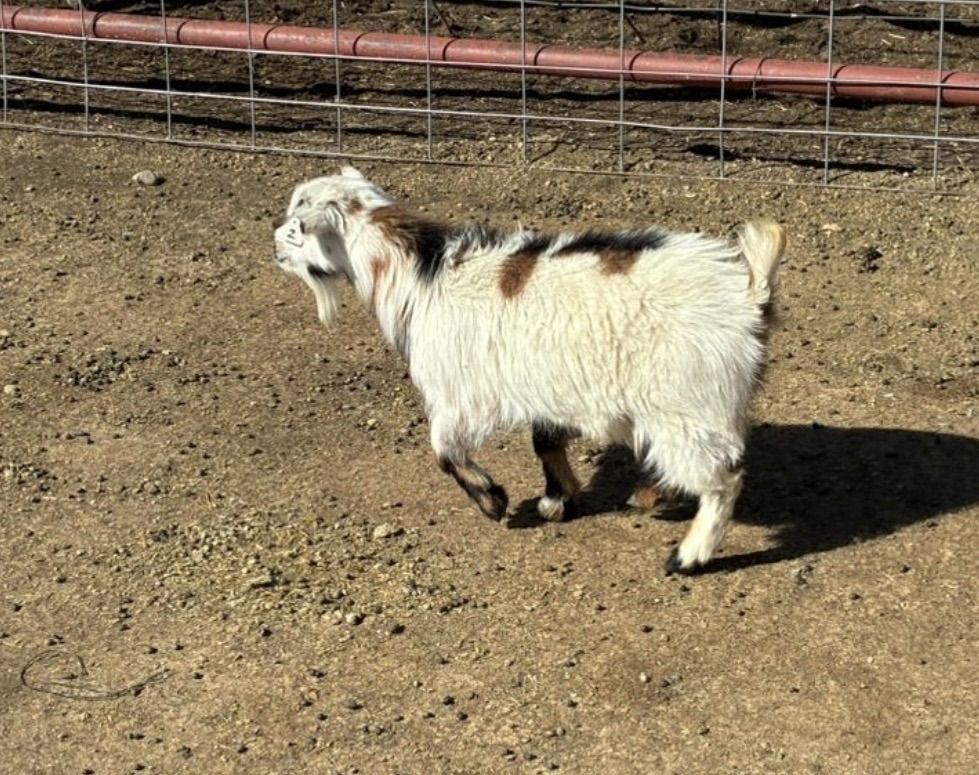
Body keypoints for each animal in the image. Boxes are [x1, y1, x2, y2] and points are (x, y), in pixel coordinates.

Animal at [273, 167, 785, 574]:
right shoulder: (543, 385)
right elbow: (545, 441)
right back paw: (650, 495)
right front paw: (558, 500)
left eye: (298, 222)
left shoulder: (461, 391)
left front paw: (492, 500)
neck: (422, 275)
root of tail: (750, 293)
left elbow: (443, 449)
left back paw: (688, 555)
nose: (275, 248)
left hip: (685, 403)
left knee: (723, 478)